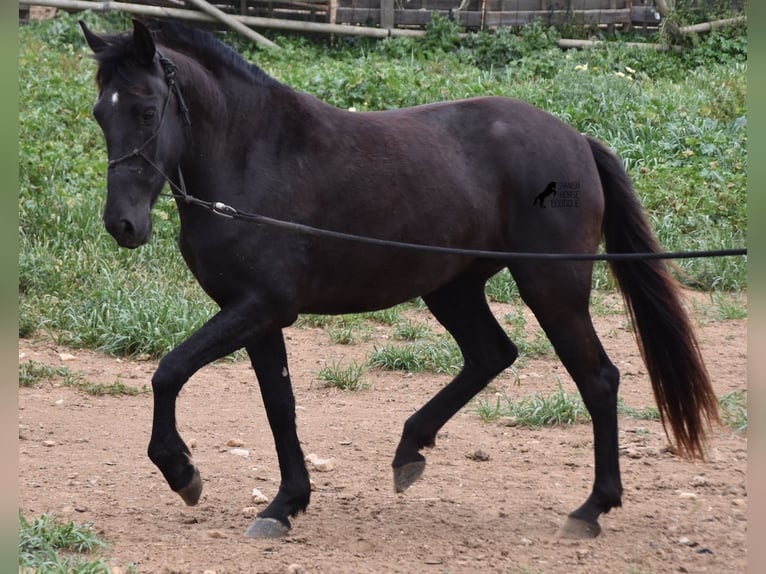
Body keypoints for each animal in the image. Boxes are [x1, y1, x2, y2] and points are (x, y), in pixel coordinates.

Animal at [78, 18, 720, 540]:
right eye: (100, 113)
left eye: (146, 109)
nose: (123, 225)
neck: (254, 157)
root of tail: (576, 142)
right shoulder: (256, 314)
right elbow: (279, 406)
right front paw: (286, 505)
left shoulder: (259, 307)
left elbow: (168, 372)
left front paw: (182, 472)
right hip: (452, 288)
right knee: (491, 354)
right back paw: (410, 451)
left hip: (552, 290)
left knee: (598, 380)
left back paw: (590, 510)